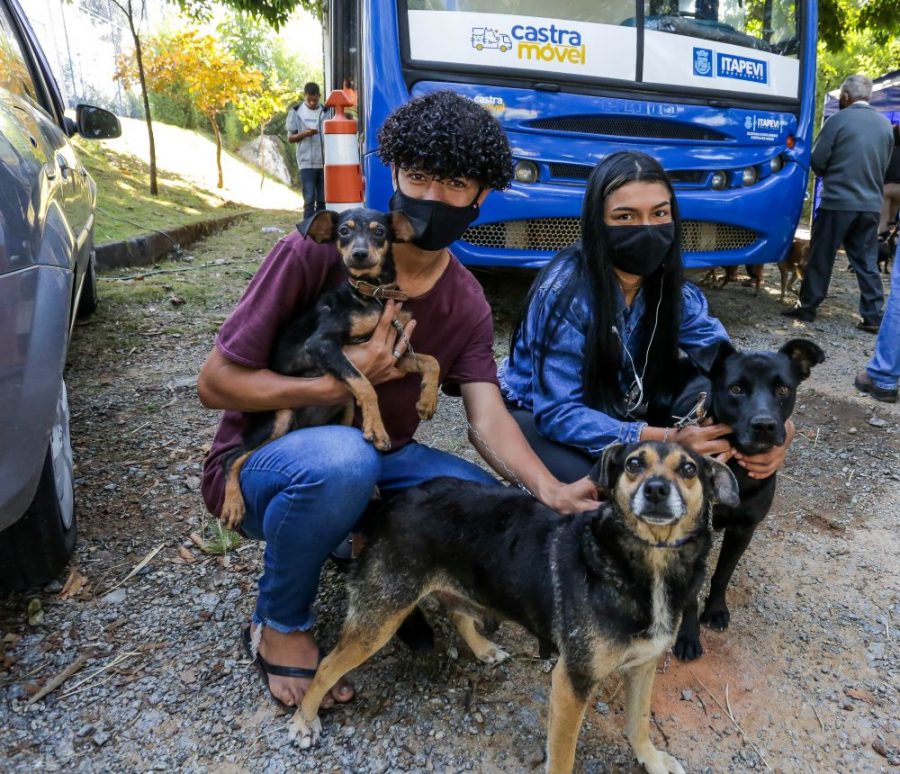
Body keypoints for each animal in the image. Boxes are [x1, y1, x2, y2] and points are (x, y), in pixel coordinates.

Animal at [220, 209, 442, 532]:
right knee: (231, 458)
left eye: (379, 232)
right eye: (344, 232)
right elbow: (364, 383)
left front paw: (427, 401)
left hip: (343, 407)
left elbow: (431, 361)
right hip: (279, 417)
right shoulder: (321, 344)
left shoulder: (394, 354)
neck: (374, 295)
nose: (359, 254)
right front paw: (377, 429)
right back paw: (233, 505)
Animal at [286, 442, 740, 774]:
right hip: (379, 617)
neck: (647, 564)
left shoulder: (644, 665)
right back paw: (303, 722)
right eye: (633, 464)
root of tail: (391, 503)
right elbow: (563, 757)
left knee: (457, 611)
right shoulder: (571, 680)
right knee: (326, 665)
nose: (657, 489)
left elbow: (639, 722)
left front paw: (651, 759)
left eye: (689, 469)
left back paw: (484, 649)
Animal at [652, 340, 828, 660]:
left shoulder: (743, 529)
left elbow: (723, 574)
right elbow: (690, 593)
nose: (765, 425)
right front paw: (688, 636)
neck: (734, 469)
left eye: (783, 389)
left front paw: (715, 610)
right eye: (736, 389)